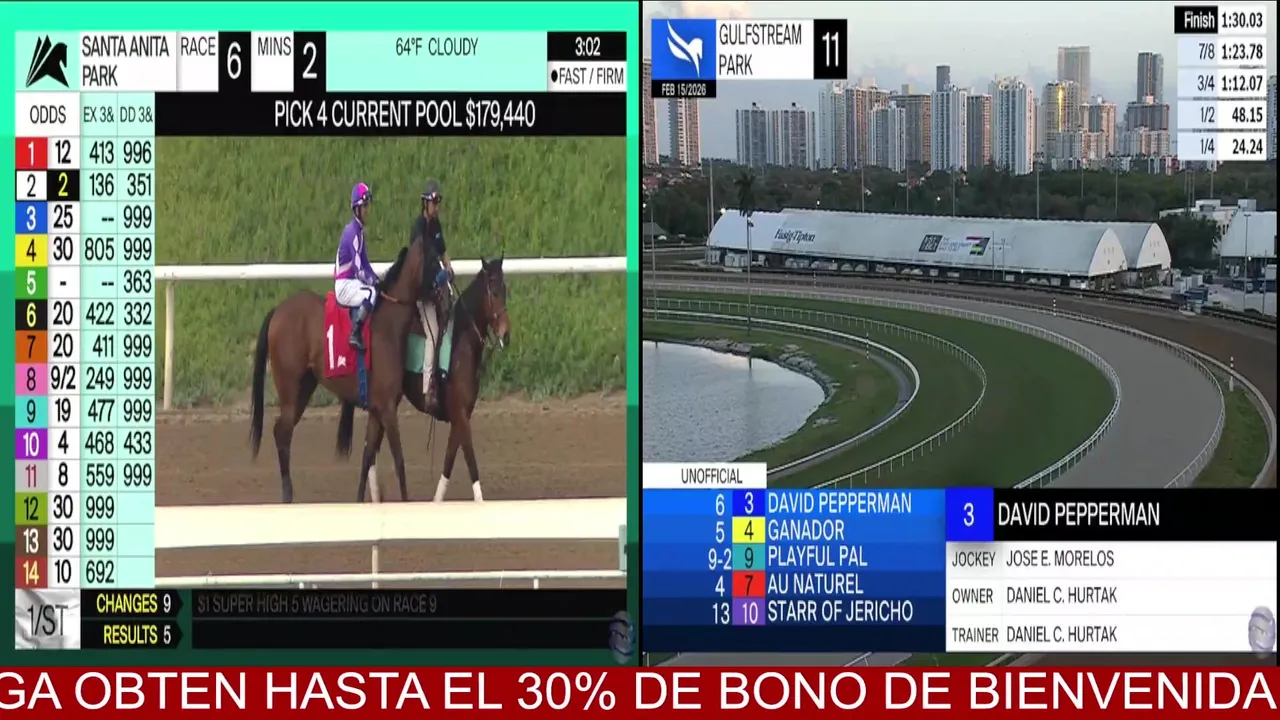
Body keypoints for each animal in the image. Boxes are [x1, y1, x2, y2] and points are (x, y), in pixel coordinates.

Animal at [249, 234, 434, 503]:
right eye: (435, 259)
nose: (449, 284)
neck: (388, 327)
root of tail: (278, 311)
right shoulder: (388, 407)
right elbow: (398, 459)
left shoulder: (377, 408)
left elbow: (367, 457)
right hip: (290, 384)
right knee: (282, 431)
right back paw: (287, 493)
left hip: (305, 385)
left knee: (281, 430)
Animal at [335, 256, 511, 503]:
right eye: (493, 292)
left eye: (505, 291)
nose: (506, 334)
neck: (462, 345)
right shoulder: (460, 414)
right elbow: (472, 464)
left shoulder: (461, 415)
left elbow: (448, 463)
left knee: (371, 451)